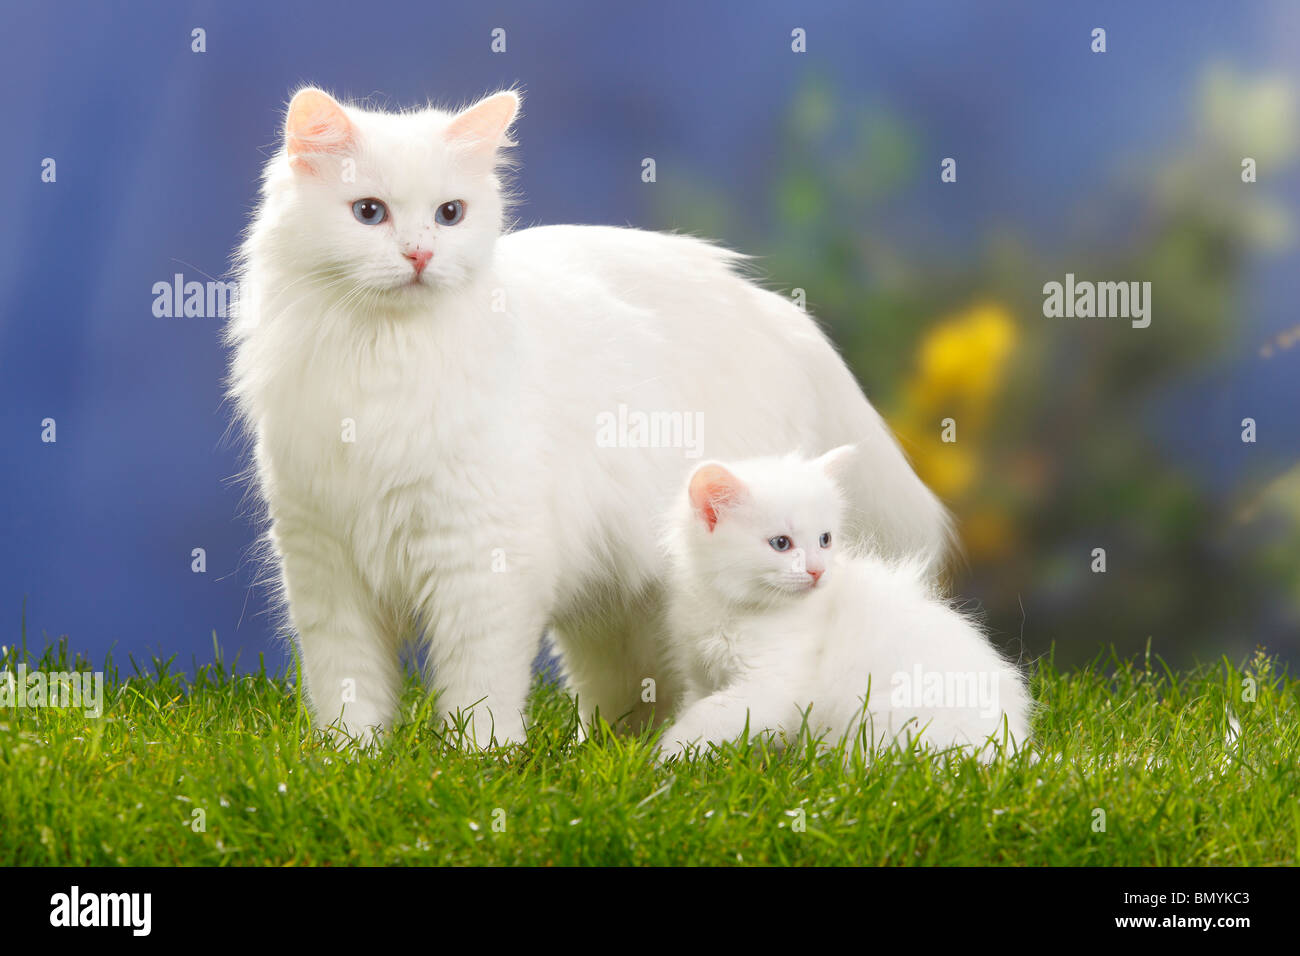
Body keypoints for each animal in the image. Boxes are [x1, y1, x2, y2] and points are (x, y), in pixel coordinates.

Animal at [228, 87, 951, 749]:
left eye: (449, 214)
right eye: (369, 213)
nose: (419, 255)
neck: (383, 358)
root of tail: (779, 310)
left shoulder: (481, 559)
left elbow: (478, 685)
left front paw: (481, 760)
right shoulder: (325, 563)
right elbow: (348, 689)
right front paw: (349, 761)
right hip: (612, 609)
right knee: (625, 692)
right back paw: (598, 753)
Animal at [665, 447, 1029, 764]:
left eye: (825, 539)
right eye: (781, 544)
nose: (817, 570)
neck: (732, 606)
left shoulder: (769, 688)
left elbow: (704, 717)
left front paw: (665, 757)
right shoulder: (700, 678)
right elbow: (694, 708)